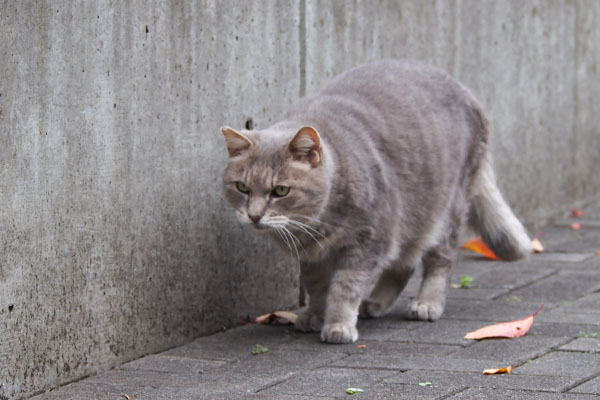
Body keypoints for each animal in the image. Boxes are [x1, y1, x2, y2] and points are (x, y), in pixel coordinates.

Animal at [219, 59, 528, 344]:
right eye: (242, 187)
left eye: (280, 190)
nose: (254, 215)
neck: (319, 224)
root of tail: (468, 93)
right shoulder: (311, 258)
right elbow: (317, 287)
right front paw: (315, 315)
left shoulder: (368, 242)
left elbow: (345, 287)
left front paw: (338, 325)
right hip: (411, 219)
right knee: (404, 264)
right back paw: (376, 303)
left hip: (445, 211)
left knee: (438, 261)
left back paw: (427, 304)